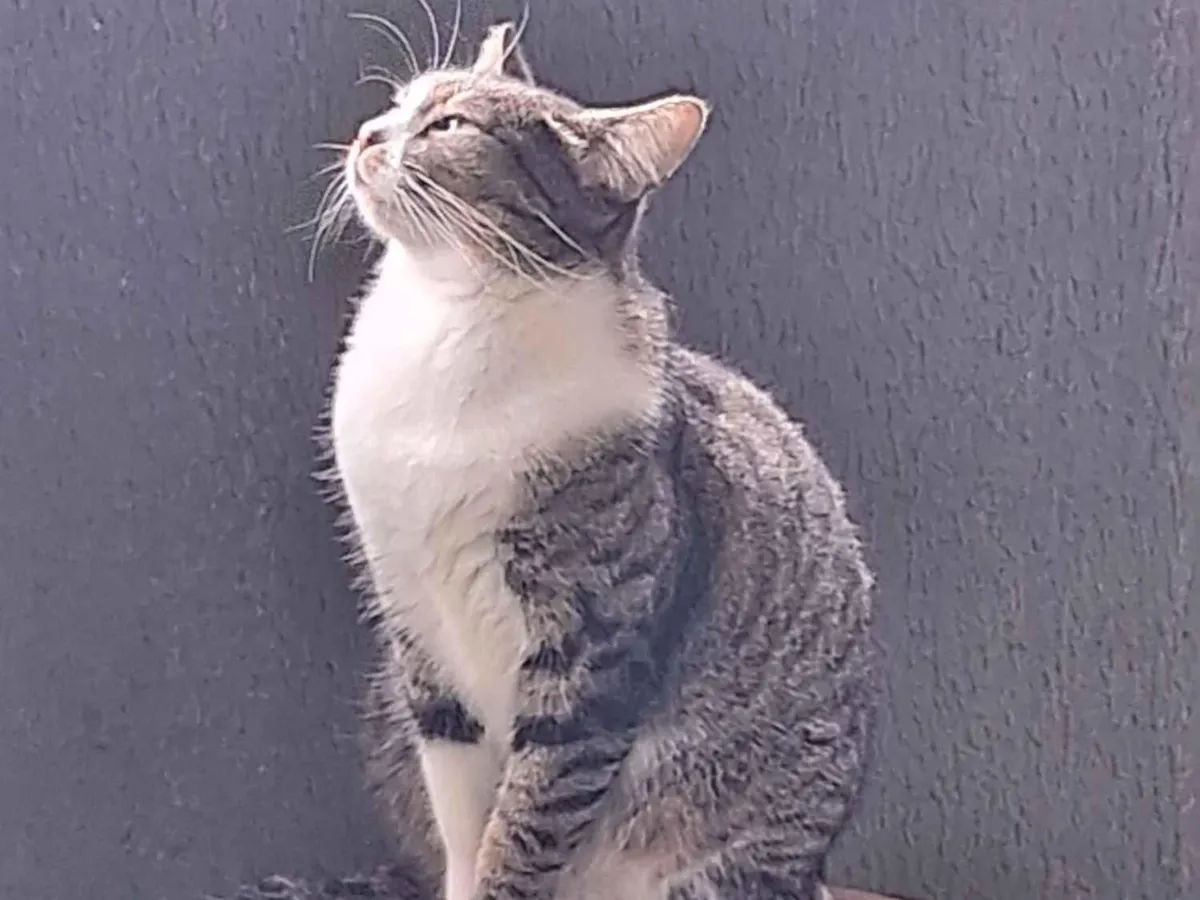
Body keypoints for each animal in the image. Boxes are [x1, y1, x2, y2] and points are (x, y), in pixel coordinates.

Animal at [231, 20, 875, 900]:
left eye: (449, 125)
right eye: (399, 102)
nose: (367, 134)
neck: (450, 325)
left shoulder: (590, 652)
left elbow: (529, 819)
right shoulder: (417, 622)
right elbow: (462, 807)